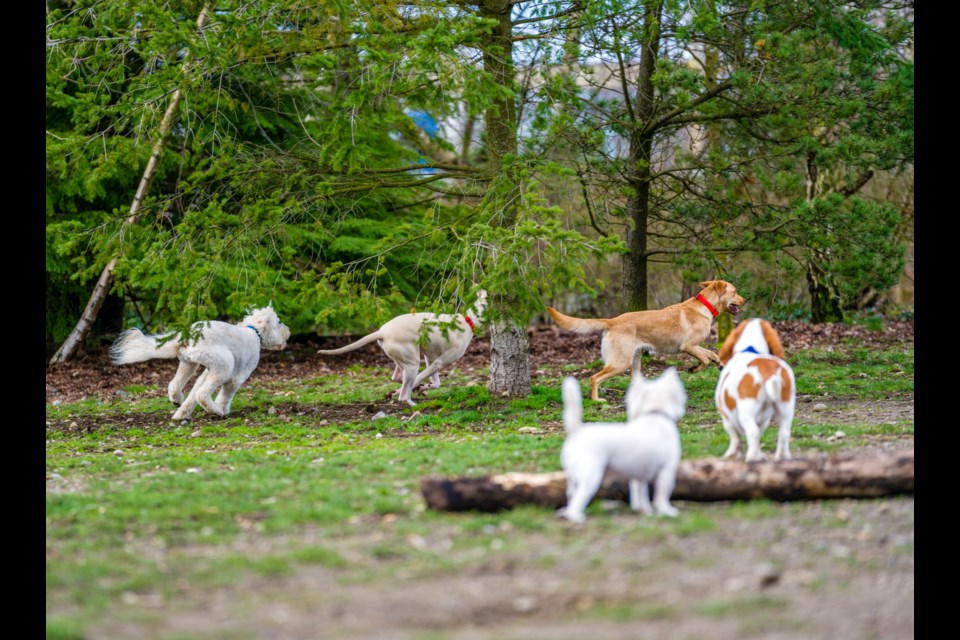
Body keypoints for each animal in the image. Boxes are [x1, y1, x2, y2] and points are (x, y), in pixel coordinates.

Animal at [109, 304, 288, 420]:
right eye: (278, 323)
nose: (288, 331)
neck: (255, 332)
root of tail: (187, 336)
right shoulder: (235, 378)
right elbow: (225, 395)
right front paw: (223, 409)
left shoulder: (207, 372)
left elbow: (194, 393)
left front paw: (183, 413)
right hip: (224, 365)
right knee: (202, 394)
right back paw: (217, 411)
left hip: (189, 363)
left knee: (175, 385)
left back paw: (177, 404)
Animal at [318, 290, 488, 404]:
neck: (468, 321)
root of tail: (382, 332)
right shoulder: (438, 362)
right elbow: (421, 379)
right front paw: (417, 387)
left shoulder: (430, 358)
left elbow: (436, 383)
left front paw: (424, 387)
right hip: (413, 363)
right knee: (404, 394)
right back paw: (410, 403)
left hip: (404, 359)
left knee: (397, 377)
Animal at [548, 280, 744, 400]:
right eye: (735, 292)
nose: (745, 300)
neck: (705, 306)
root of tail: (612, 321)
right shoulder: (687, 346)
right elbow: (704, 359)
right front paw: (694, 369)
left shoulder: (695, 345)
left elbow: (712, 354)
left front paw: (719, 364)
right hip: (621, 362)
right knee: (594, 378)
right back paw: (597, 400)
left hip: (634, 361)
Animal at [556, 368, 684, 524]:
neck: (654, 415)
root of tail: (577, 431)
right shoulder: (667, 468)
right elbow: (662, 494)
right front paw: (666, 511)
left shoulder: (640, 473)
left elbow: (641, 494)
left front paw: (645, 511)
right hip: (591, 476)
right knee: (578, 500)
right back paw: (576, 517)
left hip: (573, 477)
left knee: (571, 495)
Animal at [712, 318, 796, 462]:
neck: (751, 348)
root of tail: (767, 369)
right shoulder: (764, 420)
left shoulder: (726, 417)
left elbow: (735, 437)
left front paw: (732, 454)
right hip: (785, 408)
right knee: (784, 432)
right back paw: (782, 457)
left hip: (747, 411)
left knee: (752, 432)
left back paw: (751, 458)